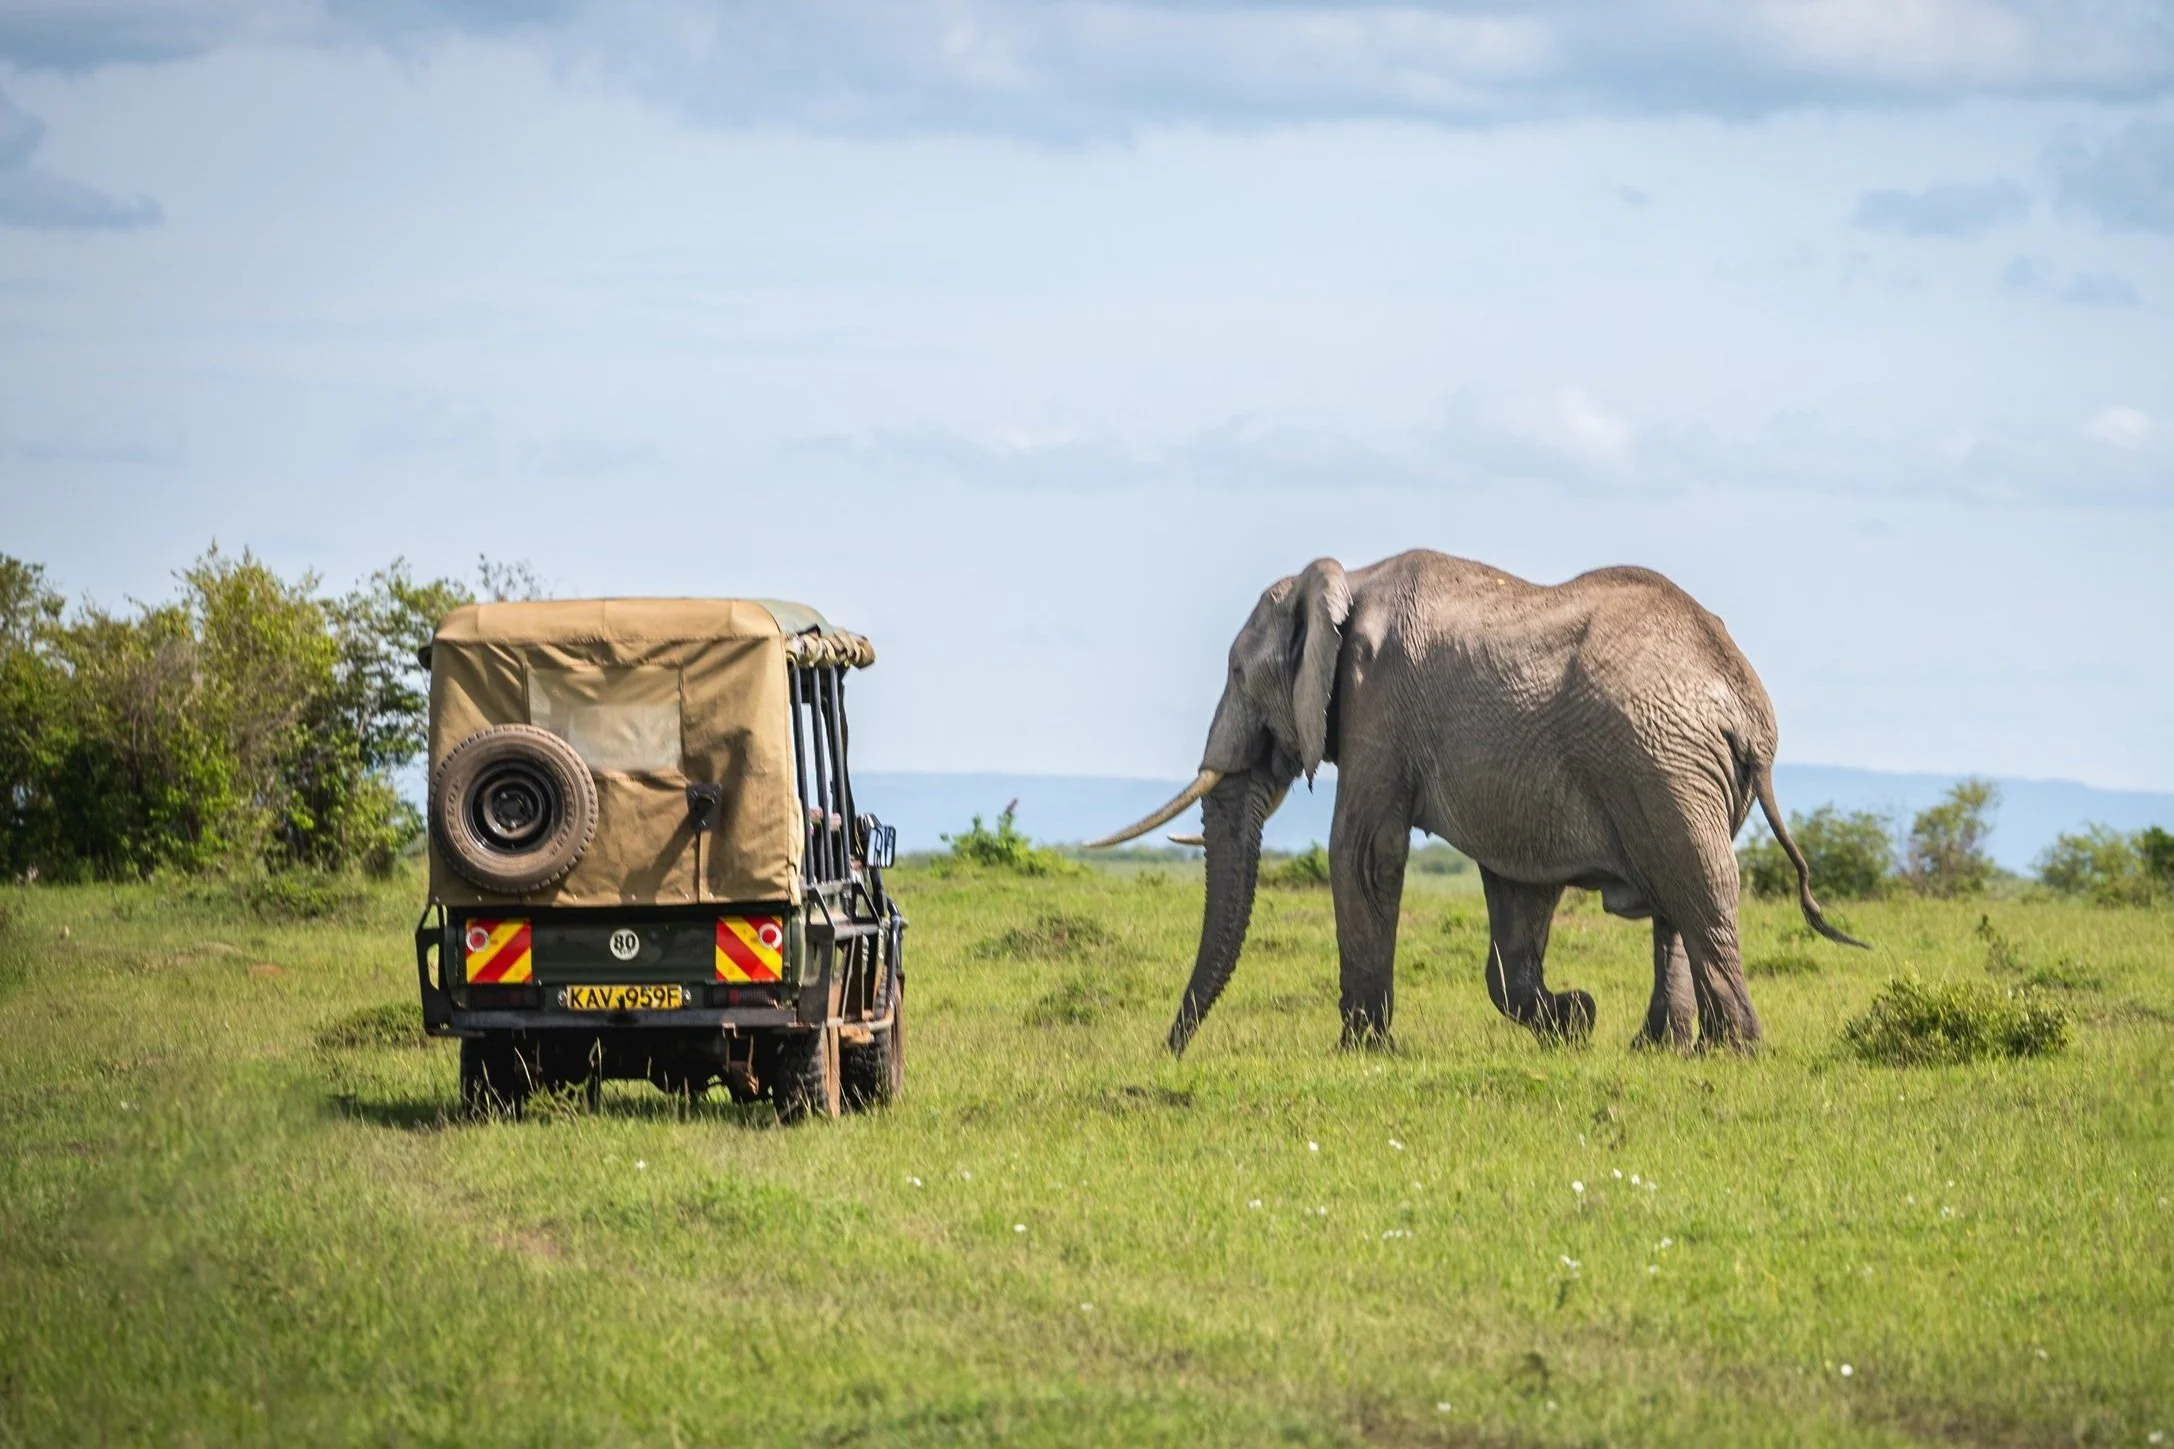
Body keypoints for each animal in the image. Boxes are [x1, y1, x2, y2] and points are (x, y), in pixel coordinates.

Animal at [1089, 550, 1864, 1056]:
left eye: (1236, 672)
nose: (1170, 1049)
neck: (1347, 579)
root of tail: (1746, 699)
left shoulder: (1378, 702)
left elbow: (1364, 854)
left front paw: (1360, 1053)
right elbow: (1516, 893)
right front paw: (1573, 1020)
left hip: (1661, 763)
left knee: (1699, 888)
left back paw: (1731, 1051)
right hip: (1674, 768)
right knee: (1675, 902)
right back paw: (1659, 1049)